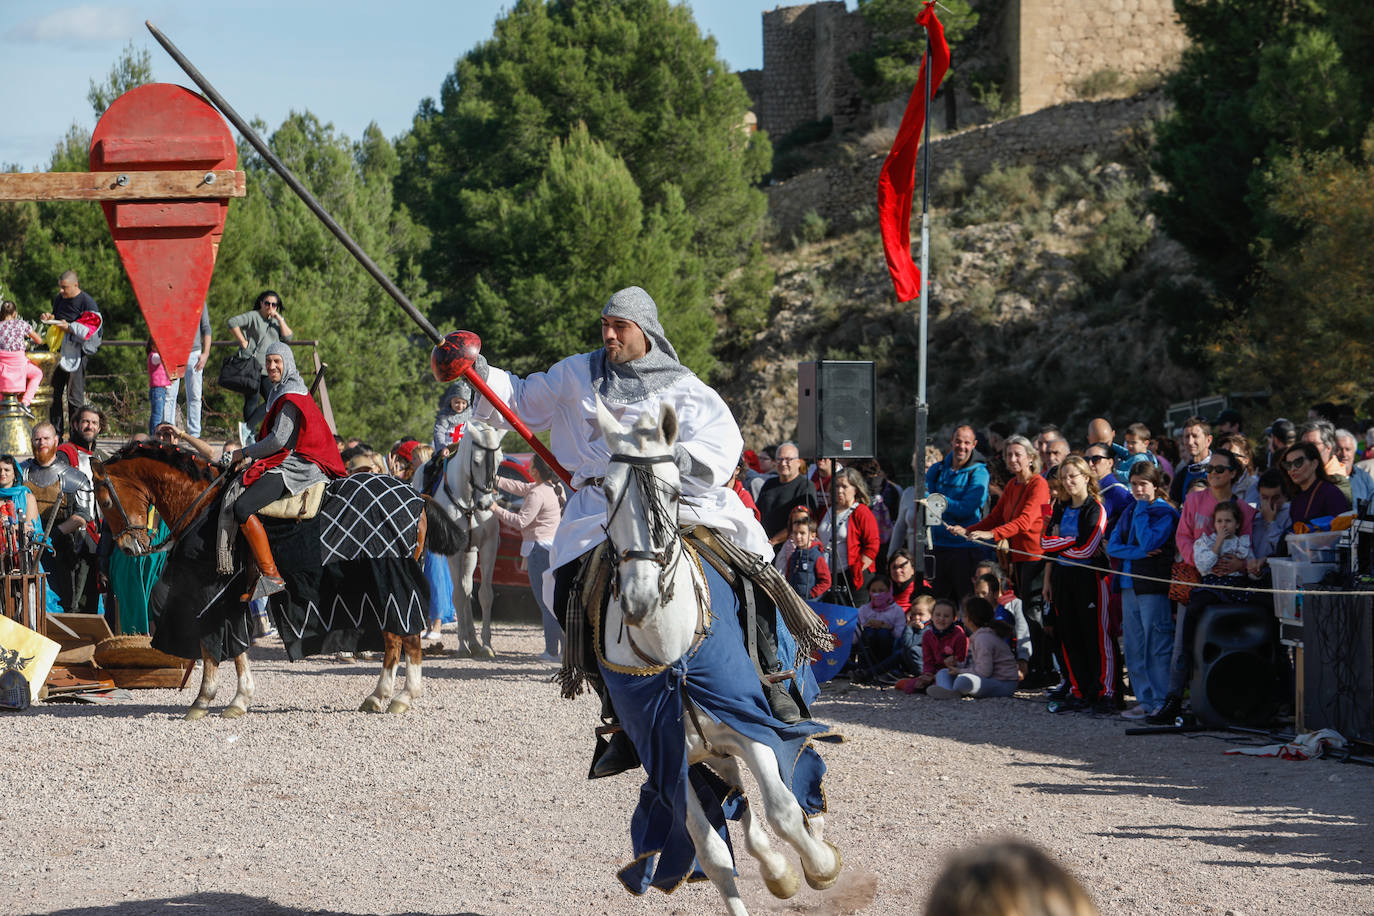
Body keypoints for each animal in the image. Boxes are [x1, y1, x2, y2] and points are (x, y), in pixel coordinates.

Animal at [92, 439, 467, 719]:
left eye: (105, 500)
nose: (128, 547)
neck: (203, 504)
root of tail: (416, 496)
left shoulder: (207, 591)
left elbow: (211, 644)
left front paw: (203, 700)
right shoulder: (231, 595)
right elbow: (236, 645)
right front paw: (239, 699)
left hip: (389, 576)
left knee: (408, 635)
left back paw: (403, 697)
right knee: (392, 639)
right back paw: (378, 696)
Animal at [431, 422, 502, 659]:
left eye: (500, 460)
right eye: (477, 461)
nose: (486, 503)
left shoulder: (488, 547)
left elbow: (484, 594)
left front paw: (487, 645)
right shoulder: (454, 552)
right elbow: (459, 596)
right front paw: (462, 646)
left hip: (470, 554)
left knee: (467, 585)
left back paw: (474, 641)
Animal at [590, 398, 835, 916]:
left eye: (674, 490)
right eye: (606, 489)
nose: (640, 598)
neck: (673, 660)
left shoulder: (750, 727)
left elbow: (784, 810)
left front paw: (821, 865)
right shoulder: (669, 760)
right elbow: (714, 853)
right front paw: (781, 873)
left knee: (787, 782)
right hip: (710, 751)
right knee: (738, 798)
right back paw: (776, 869)